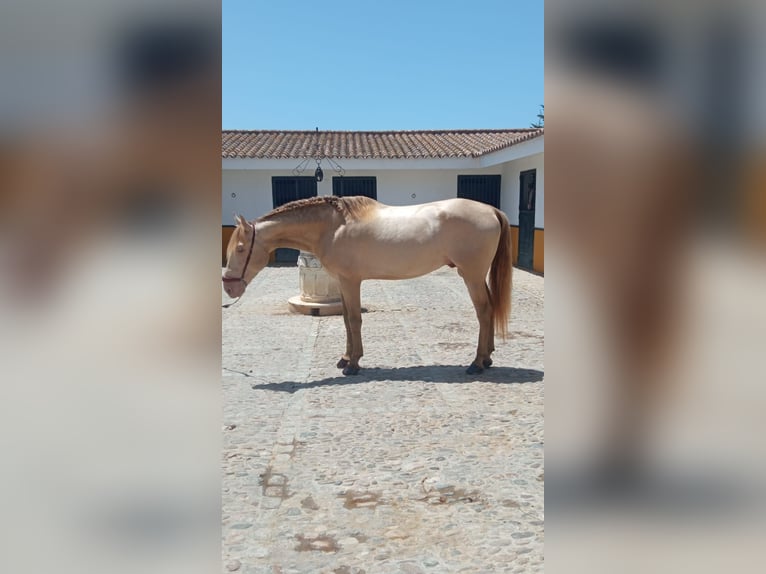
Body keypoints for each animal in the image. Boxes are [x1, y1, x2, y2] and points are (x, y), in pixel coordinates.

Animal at [224, 197, 516, 378]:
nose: (228, 288)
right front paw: (345, 358)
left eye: (240, 248)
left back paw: (477, 363)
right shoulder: (342, 282)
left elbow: (354, 320)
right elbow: (345, 319)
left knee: (484, 311)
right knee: (489, 309)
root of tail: (491, 210)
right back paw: (487, 357)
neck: (332, 227)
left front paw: (353, 365)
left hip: (472, 275)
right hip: (477, 276)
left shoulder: (351, 281)